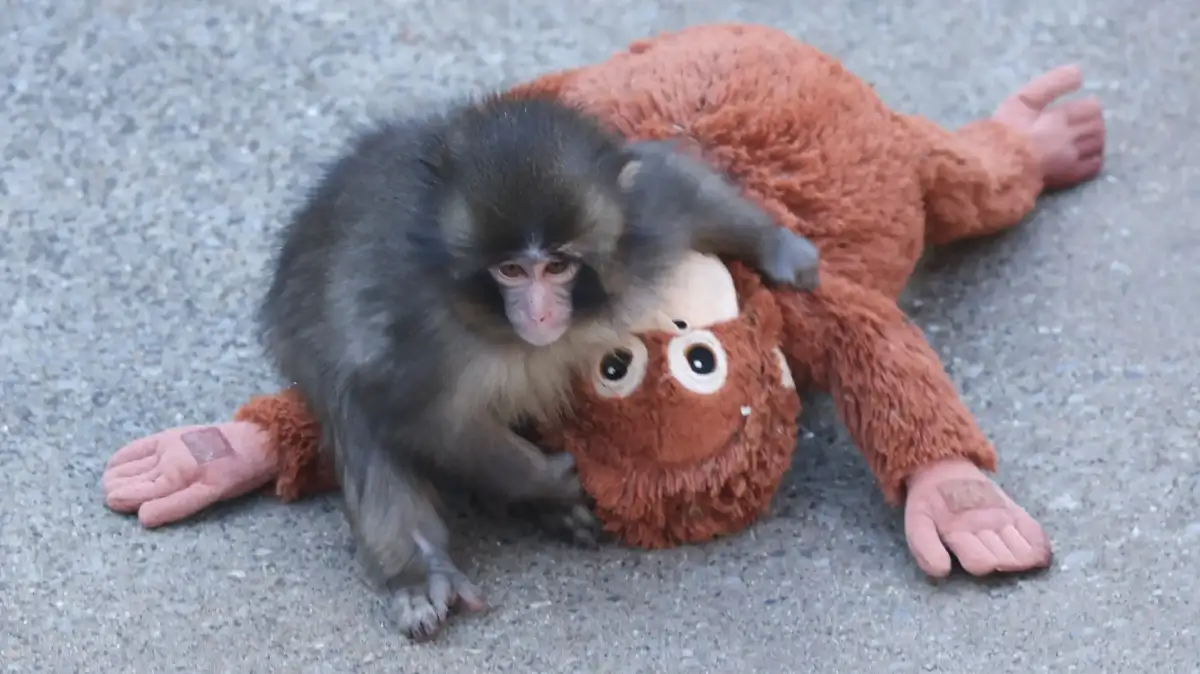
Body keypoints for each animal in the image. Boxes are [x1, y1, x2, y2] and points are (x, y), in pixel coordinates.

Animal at [256, 94, 820, 641]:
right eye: (510, 270)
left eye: (557, 266)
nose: (540, 313)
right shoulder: (416, 332)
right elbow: (421, 418)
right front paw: (549, 480)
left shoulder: (642, 227)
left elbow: (675, 183)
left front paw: (781, 248)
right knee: (355, 413)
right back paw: (421, 571)